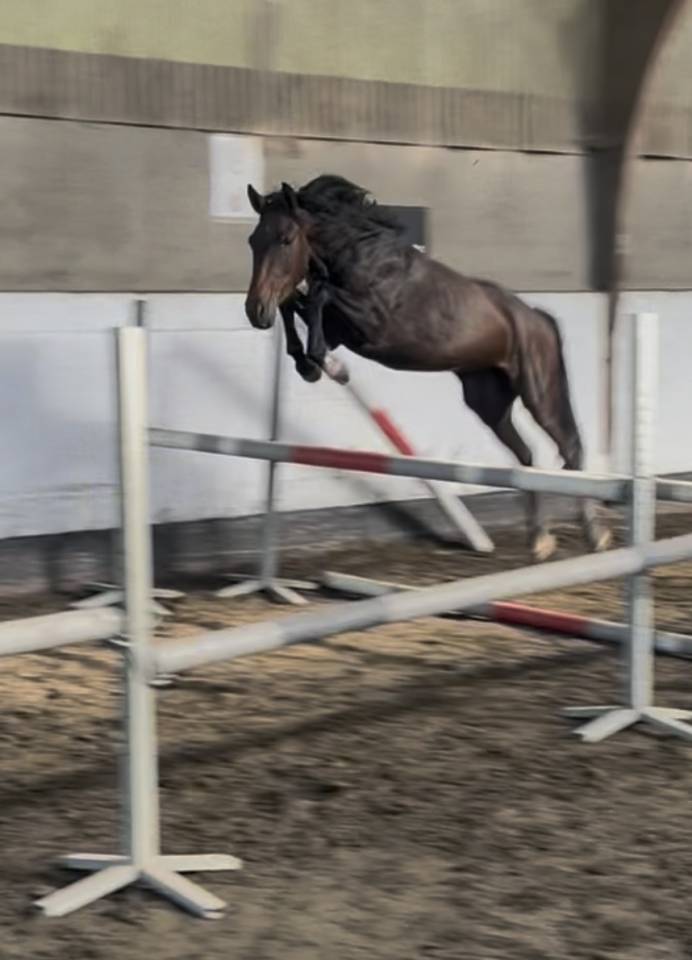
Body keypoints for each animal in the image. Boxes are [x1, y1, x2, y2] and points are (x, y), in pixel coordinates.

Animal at [244, 174, 611, 561]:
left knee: (569, 447)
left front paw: (327, 365)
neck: (361, 258)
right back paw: (540, 540)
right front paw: (312, 364)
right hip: (488, 403)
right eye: (253, 240)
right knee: (526, 454)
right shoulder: (341, 329)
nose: (255, 311)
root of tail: (539, 318)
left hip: (539, 393)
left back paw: (596, 536)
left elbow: (318, 296)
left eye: (286, 239)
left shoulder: (374, 325)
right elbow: (297, 303)